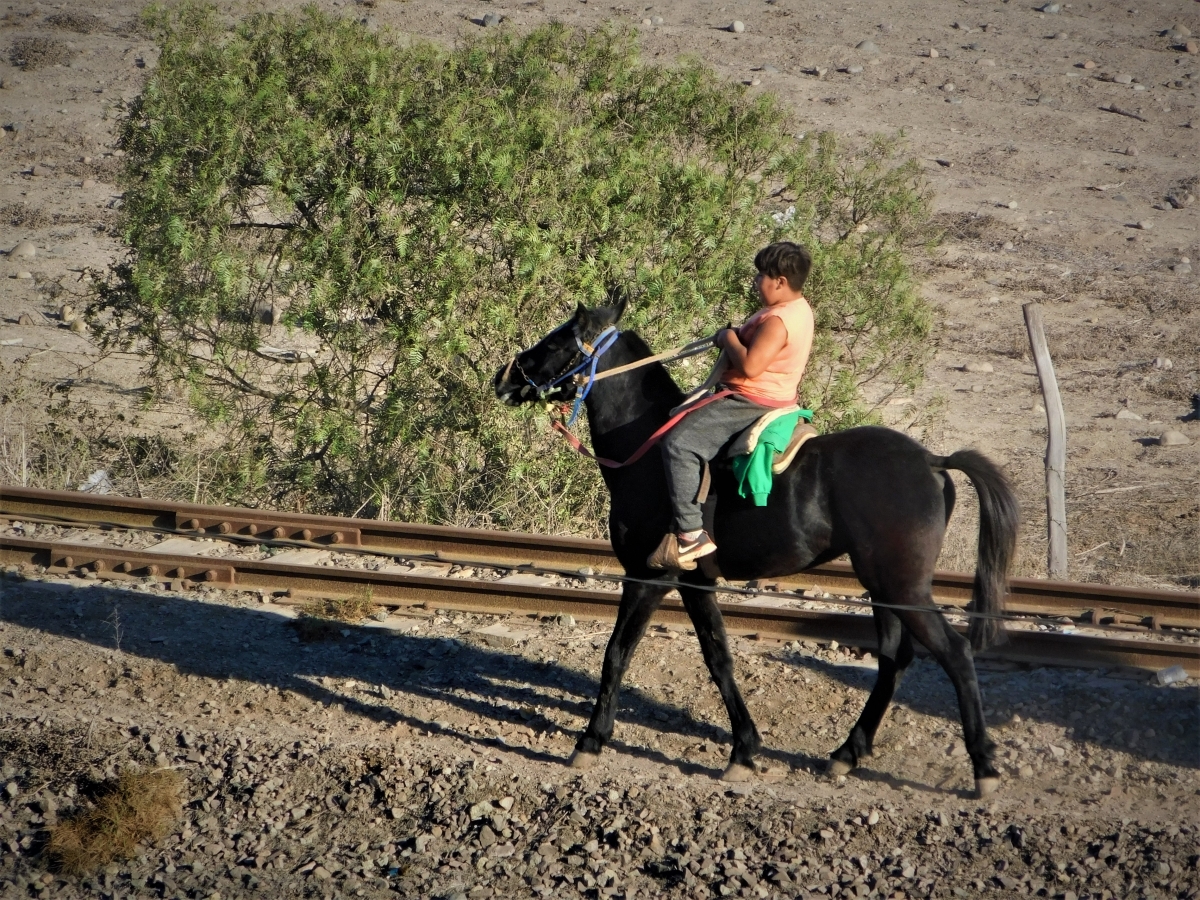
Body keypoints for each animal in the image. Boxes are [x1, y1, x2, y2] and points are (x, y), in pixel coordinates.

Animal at [492, 296, 1017, 796]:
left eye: (557, 341)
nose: (505, 377)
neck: (645, 448)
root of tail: (932, 459)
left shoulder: (648, 576)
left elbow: (616, 653)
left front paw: (590, 740)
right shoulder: (695, 583)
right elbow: (718, 658)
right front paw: (743, 748)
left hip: (904, 587)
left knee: (954, 653)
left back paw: (984, 767)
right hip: (883, 588)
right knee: (894, 660)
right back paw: (846, 753)